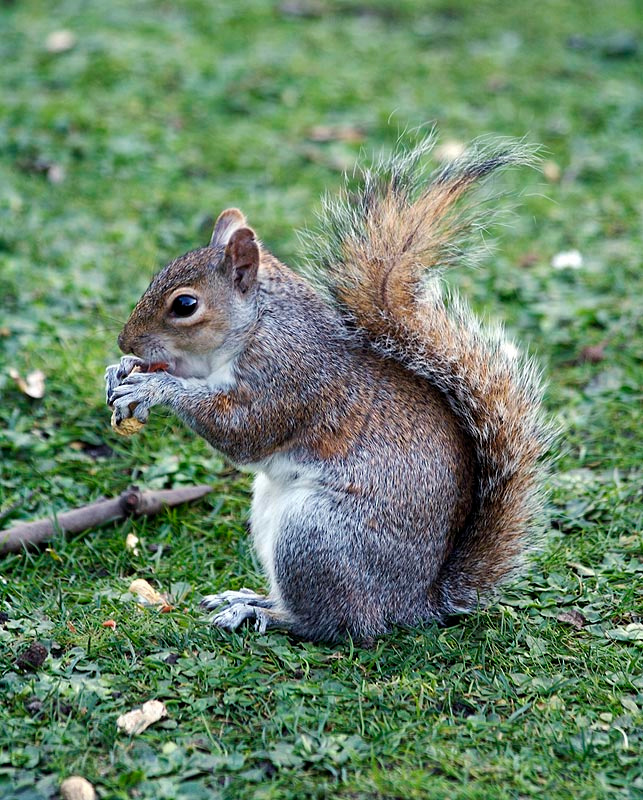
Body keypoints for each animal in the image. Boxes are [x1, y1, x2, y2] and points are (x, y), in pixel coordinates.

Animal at [105, 135, 552, 643]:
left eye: (184, 304)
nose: (125, 342)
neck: (260, 323)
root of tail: (415, 603)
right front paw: (122, 370)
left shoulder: (290, 378)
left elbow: (242, 431)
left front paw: (156, 386)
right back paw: (251, 598)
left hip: (317, 536)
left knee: (332, 623)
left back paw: (262, 614)